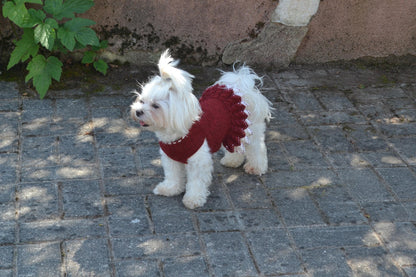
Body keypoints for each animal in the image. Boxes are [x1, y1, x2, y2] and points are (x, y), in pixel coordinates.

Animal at [131, 50, 272, 209]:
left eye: (156, 106)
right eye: (141, 101)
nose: (138, 111)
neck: (178, 134)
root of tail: (240, 87)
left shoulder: (198, 161)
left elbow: (196, 182)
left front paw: (193, 198)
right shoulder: (170, 159)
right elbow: (173, 176)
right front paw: (170, 188)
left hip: (250, 131)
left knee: (257, 149)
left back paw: (256, 167)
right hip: (234, 132)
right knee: (236, 147)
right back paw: (232, 161)